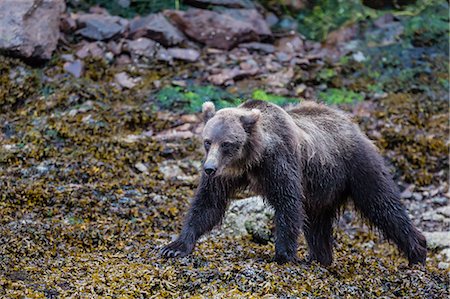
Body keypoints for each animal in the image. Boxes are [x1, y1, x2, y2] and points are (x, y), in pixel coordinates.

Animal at [160, 99, 428, 266]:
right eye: (208, 141)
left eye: (226, 143)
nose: (209, 169)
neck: (252, 158)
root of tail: (352, 124)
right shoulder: (227, 174)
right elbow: (208, 204)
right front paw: (174, 246)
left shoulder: (279, 160)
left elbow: (287, 203)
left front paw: (282, 255)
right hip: (322, 188)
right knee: (317, 225)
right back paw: (319, 258)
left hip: (356, 165)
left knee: (383, 205)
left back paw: (417, 252)